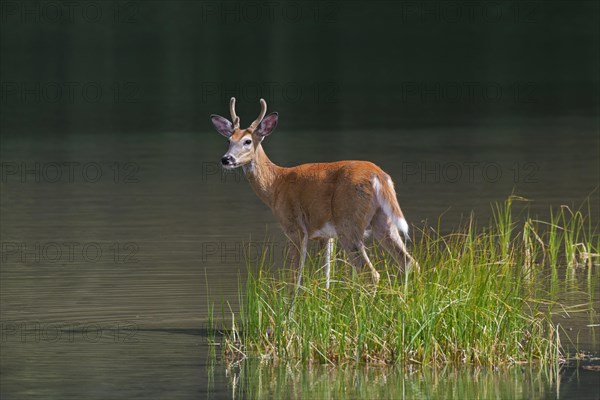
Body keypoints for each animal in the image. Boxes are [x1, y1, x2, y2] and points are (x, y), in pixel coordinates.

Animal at [212, 98, 418, 290]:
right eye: (229, 140)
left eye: (247, 141)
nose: (226, 159)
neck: (276, 184)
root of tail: (379, 176)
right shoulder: (326, 236)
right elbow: (325, 278)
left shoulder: (295, 228)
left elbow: (295, 279)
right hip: (383, 221)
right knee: (409, 262)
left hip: (348, 223)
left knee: (370, 273)